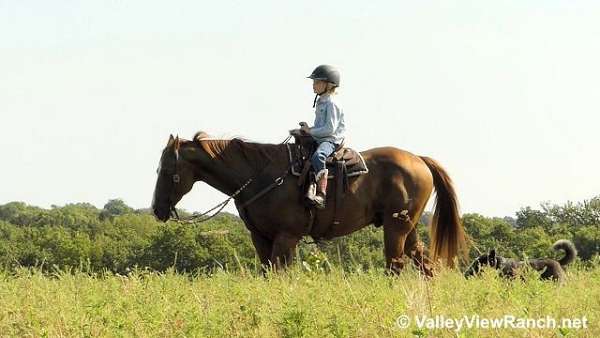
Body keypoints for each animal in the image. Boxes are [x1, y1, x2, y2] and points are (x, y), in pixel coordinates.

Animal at [151, 131, 468, 274]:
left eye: (166, 170)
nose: (157, 210)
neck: (261, 176)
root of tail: (420, 160)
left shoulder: (286, 237)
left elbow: (279, 274)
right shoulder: (261, 238)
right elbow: (269, 273)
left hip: (395, 229)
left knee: (396, 264)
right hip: (409, 228)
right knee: (424, 263)